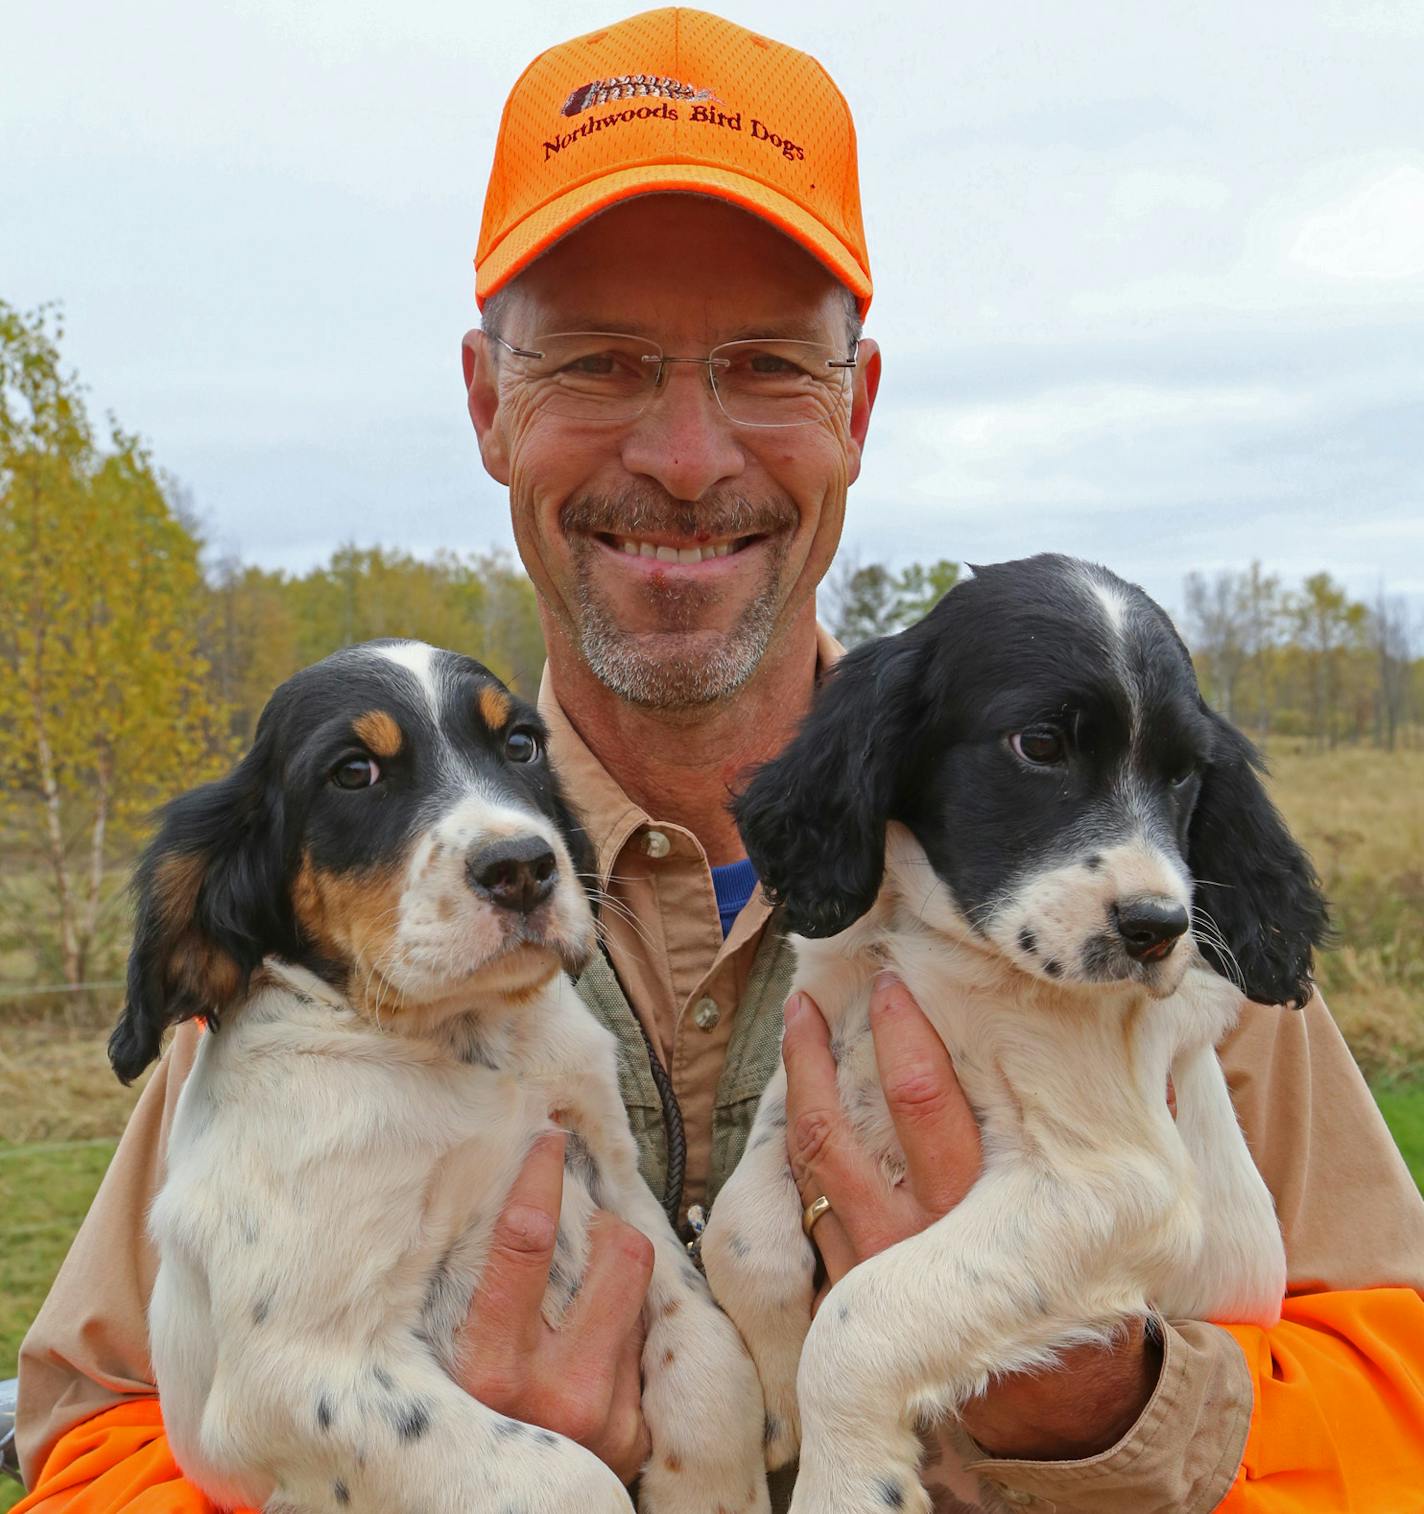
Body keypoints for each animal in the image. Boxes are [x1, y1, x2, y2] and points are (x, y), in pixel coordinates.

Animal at [109, 638, 765, 1514]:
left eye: (521, 744)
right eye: (354, 772)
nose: (522, 866)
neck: (467, 1048)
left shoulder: (619, 1189)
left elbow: (712, 1353)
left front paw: (716, 1485)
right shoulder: (299, 1369)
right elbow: (567, 1478)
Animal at [705, 557, 1325, 1514]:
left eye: (1187, 775)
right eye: (1040, 745)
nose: (1160, 928)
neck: (941, 941)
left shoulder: (1116, 1184)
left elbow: (861, 1314)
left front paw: (841, 1475)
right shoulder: (819, 1044)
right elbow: (735, 1230)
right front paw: (776, 1393)